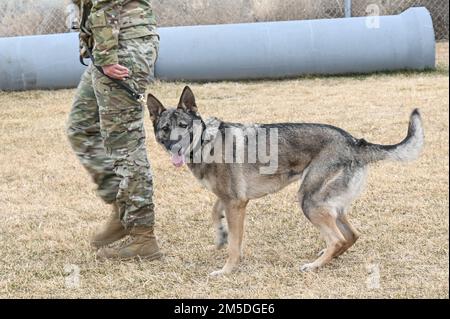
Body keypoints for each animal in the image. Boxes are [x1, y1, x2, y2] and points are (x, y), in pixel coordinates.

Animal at [147, 87, 422, 278]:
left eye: (184, 126)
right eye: (165, 128)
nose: (173, 145)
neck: (207, 142)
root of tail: (355, 142)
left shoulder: (236, 203)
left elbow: (235, 245)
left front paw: (226, 270)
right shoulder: (227, 199)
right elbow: (215, 213)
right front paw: (220, 235)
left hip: (308, 201)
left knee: (337, 238)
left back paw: (314, 265)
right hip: (330, 205)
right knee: (351, 236)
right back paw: (328, 257)